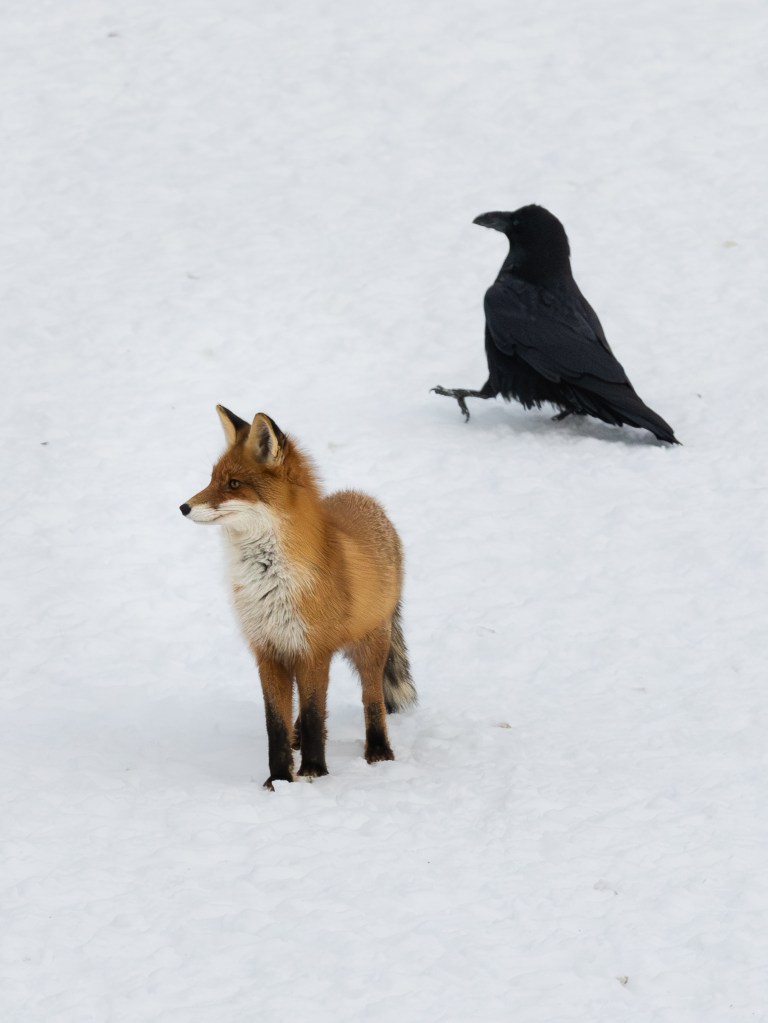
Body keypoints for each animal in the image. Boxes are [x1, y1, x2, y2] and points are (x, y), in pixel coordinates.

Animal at [180, 406, 416, 789]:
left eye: (233, 484)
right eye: (212, 479)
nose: (183, 507)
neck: (270, 583)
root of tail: (365, 499)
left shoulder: (312, 651)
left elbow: (314, 713)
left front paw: (313, 771)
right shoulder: (269, 650)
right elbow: (275, 723)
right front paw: (278, 779)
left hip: (370, 645)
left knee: (372, 699)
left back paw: (379, 752)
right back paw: (299, 741)